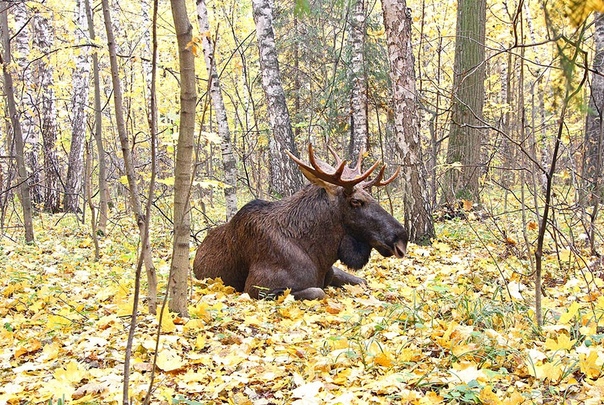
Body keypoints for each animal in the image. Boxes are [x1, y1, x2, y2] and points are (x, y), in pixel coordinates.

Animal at [193, 144, 408, 298]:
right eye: (356, 201)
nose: (401, 238)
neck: (319, 252)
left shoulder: (332, 270)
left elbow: (362, 281)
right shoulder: (257, 288)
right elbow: (319, 292)